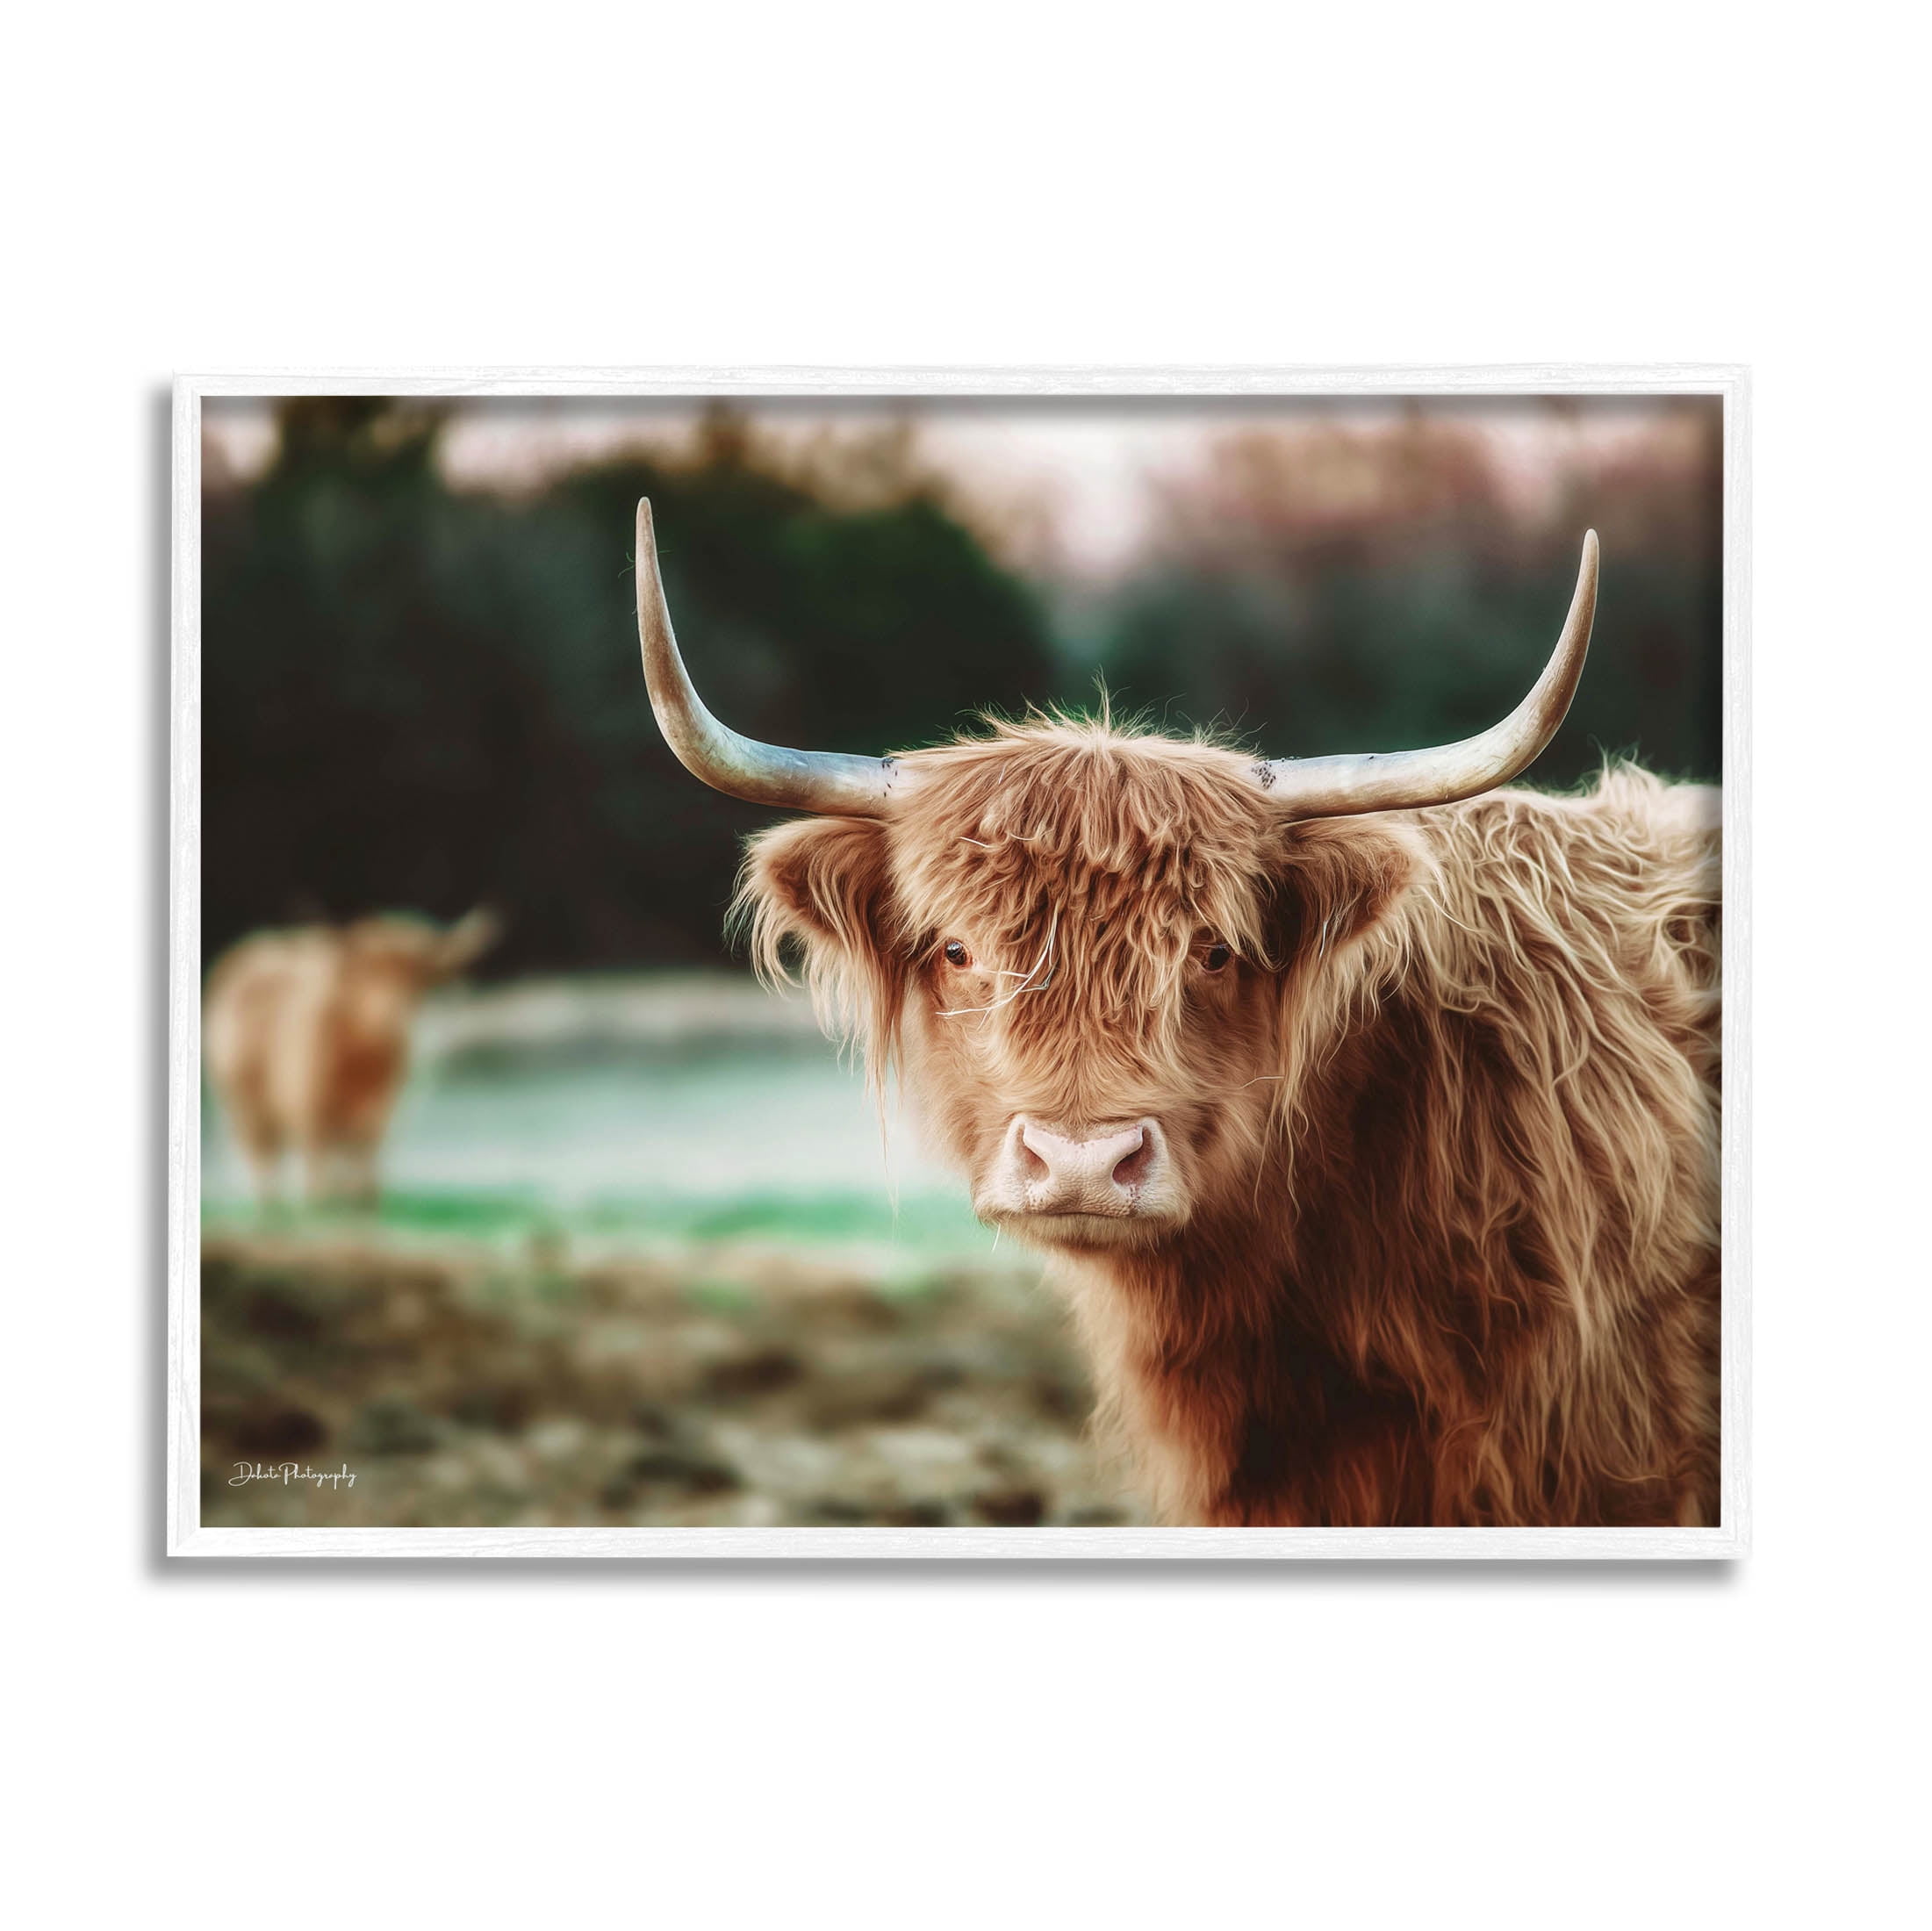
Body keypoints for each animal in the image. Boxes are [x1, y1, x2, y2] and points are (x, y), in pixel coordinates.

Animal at [204, 909, 499, 1207]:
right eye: (368, 976)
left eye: (416, 979)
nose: (391, 1017)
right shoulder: (311, 1118)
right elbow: (318, 1185)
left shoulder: (374, 1125)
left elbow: (366, 1185)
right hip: (247, 1111)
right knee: (266, 1170)